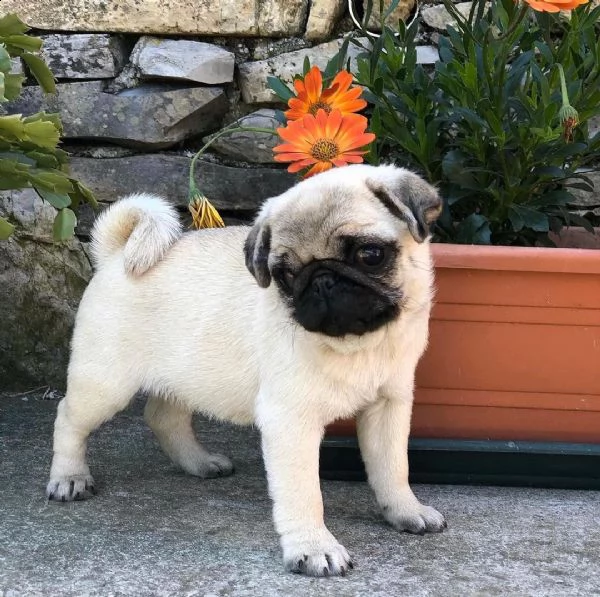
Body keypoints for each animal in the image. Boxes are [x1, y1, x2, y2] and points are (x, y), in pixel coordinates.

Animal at [48, 165, 446, 576]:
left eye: (370, 255)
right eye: (285, 276)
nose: (321, 279)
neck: (355, 343)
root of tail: (115, 255)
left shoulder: (388, 407)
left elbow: (393, 468)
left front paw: (406, 510)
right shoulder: (290, 421)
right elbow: (304, 493)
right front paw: (314, 547)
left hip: (184, 375)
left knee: (163, 417)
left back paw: (199, 462)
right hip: (105, 383)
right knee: (69, 419)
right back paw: (69, 478)